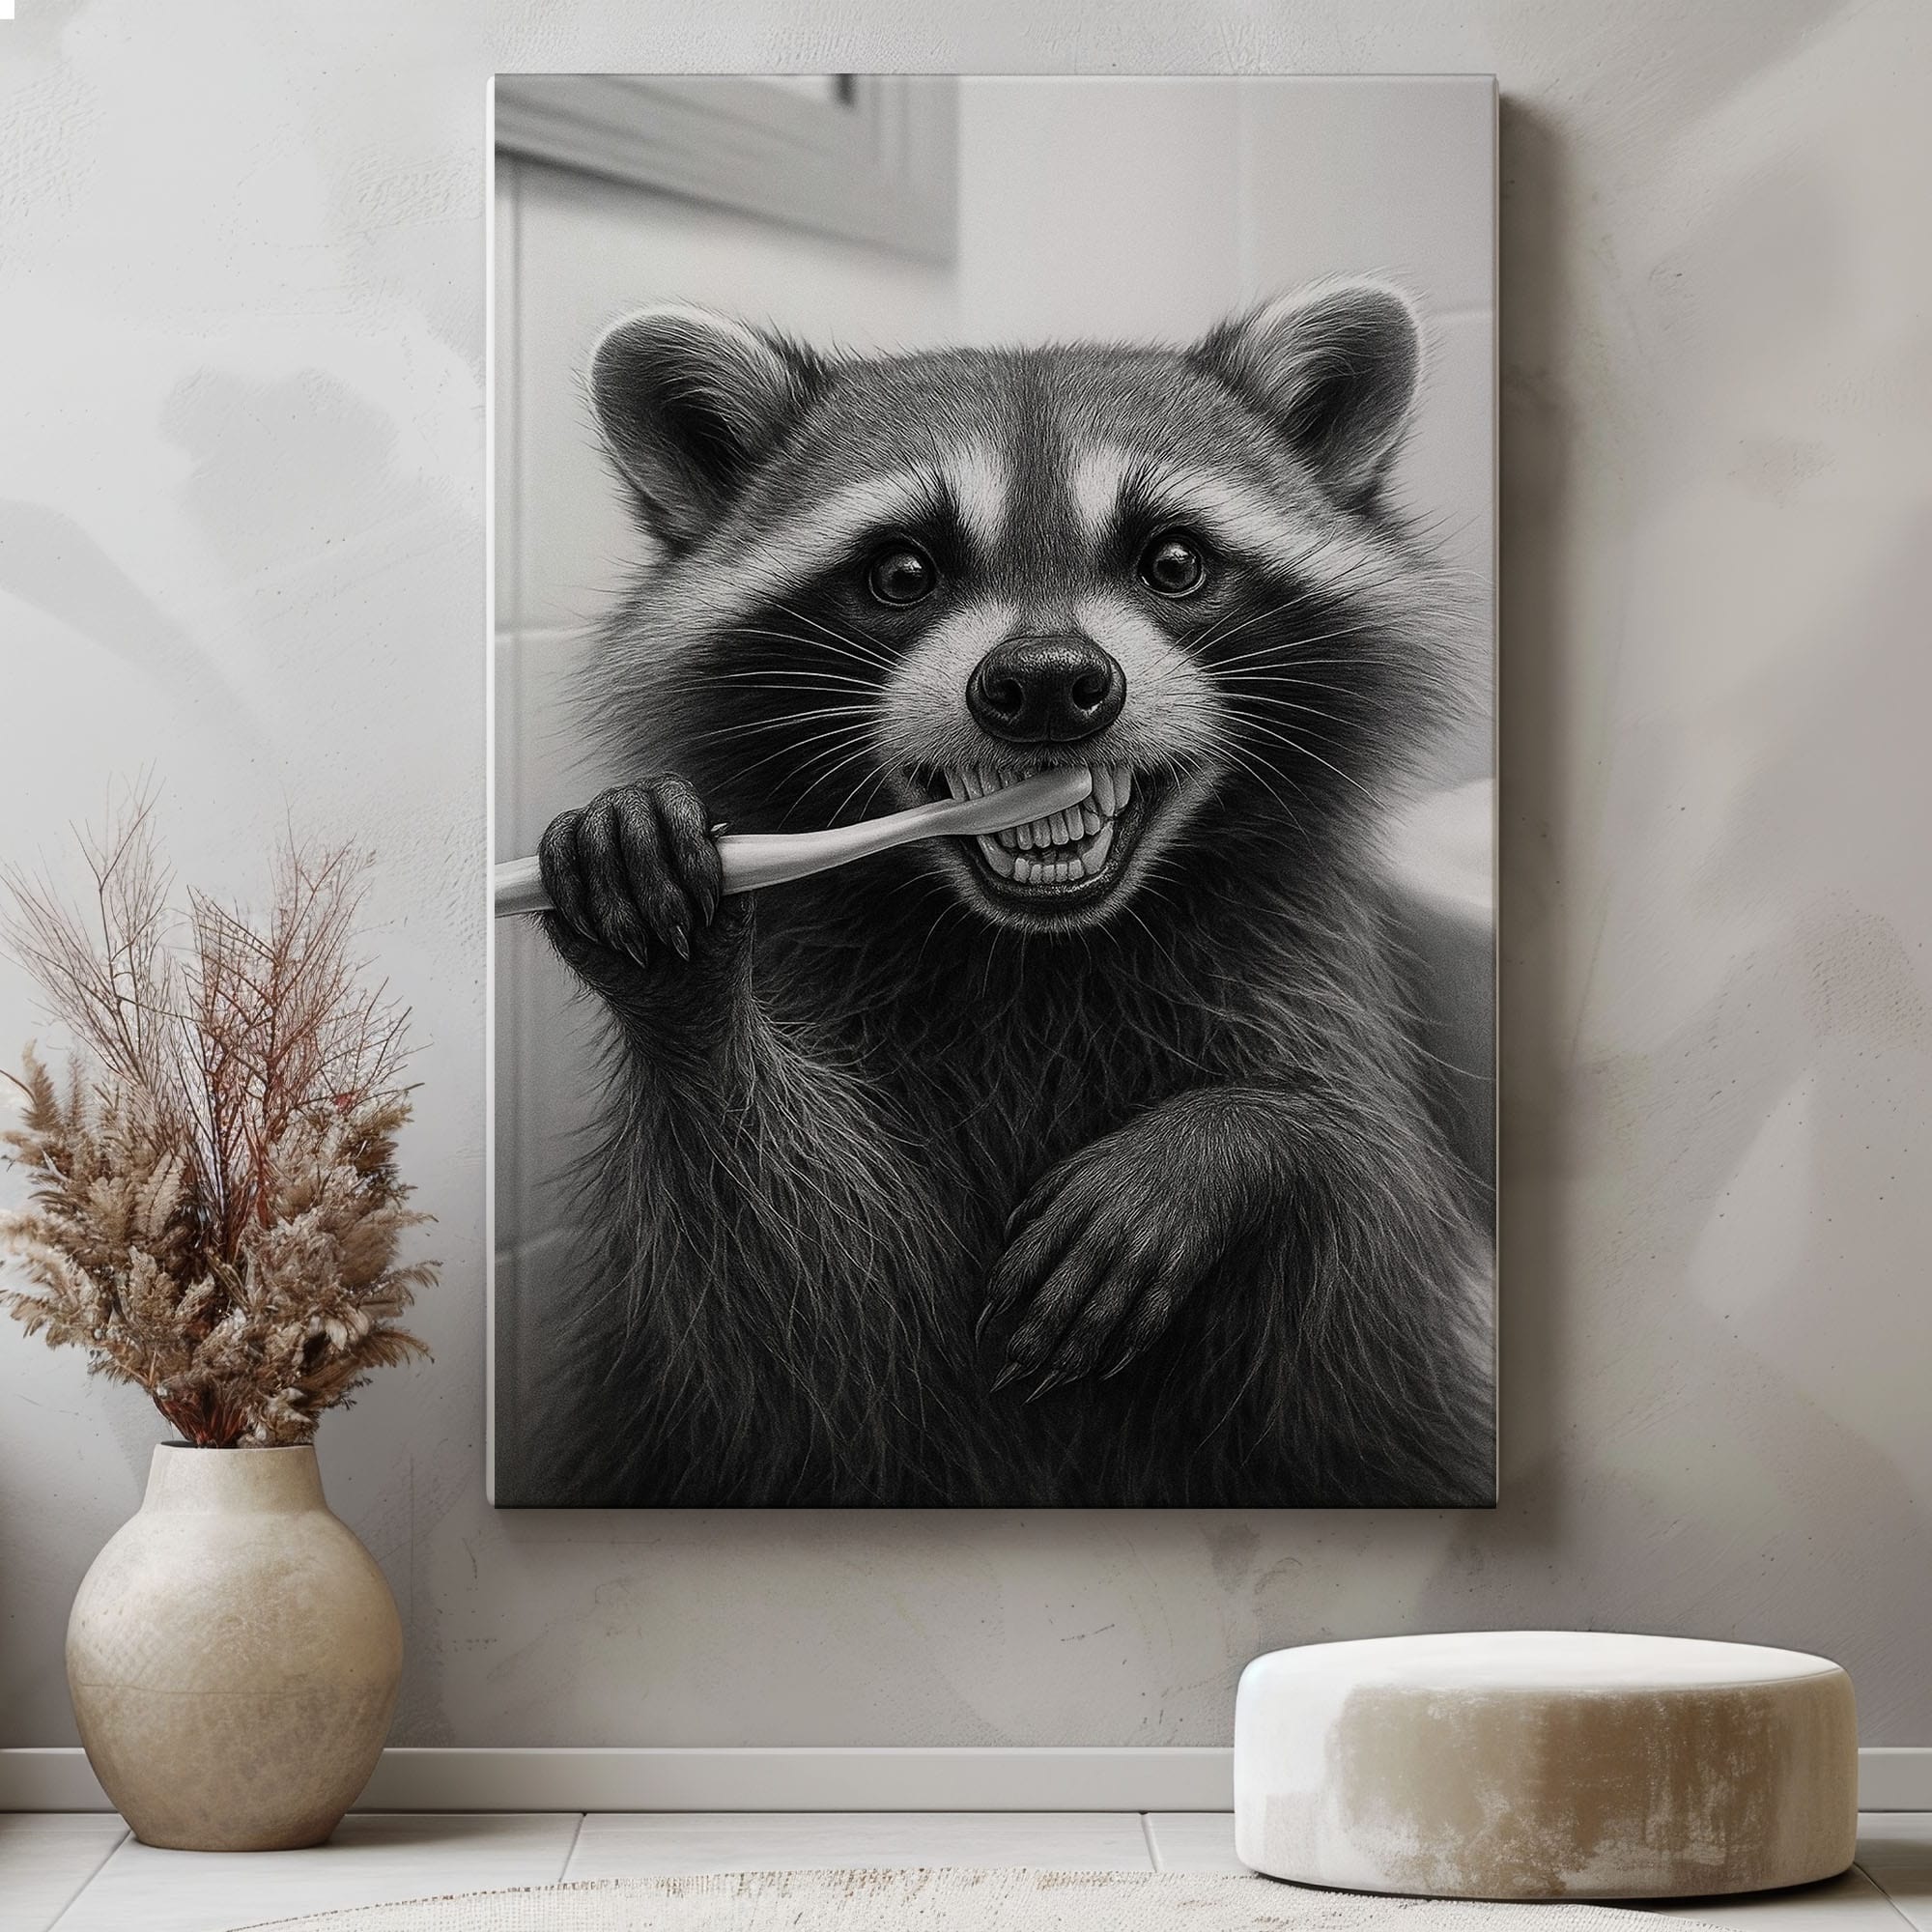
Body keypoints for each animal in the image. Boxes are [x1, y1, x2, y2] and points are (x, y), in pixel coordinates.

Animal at [524, 281, 1494, 1508]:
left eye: (1172, 561)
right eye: (901, 572)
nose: (1044, 683)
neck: (1038, 948)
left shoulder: (1310, 975)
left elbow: (1365, 1263)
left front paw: (1244, 1138)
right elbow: (805, 1317)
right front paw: (686, 999)